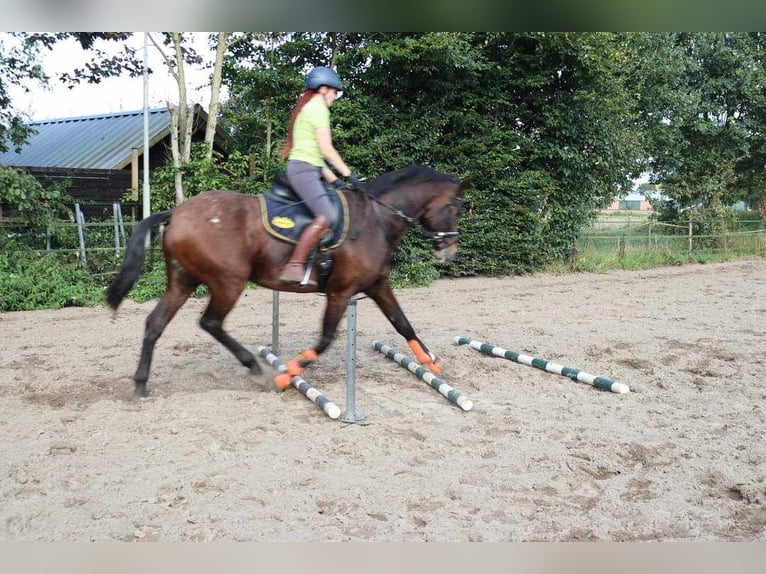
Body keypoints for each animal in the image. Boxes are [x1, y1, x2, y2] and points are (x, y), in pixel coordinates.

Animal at [106, 165, 468, 400]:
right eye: (455, 207)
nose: (449, 250)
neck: (375, 221)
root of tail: (177, 214)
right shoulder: (340, 292)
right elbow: (325, 339)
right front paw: (285, 377)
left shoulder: (378, 286)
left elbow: (403, 324)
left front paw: (432, 364)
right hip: (229, 282)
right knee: (210, 322)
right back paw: (254, 365)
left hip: (183, 281)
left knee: (155, 323)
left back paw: (141, 384)